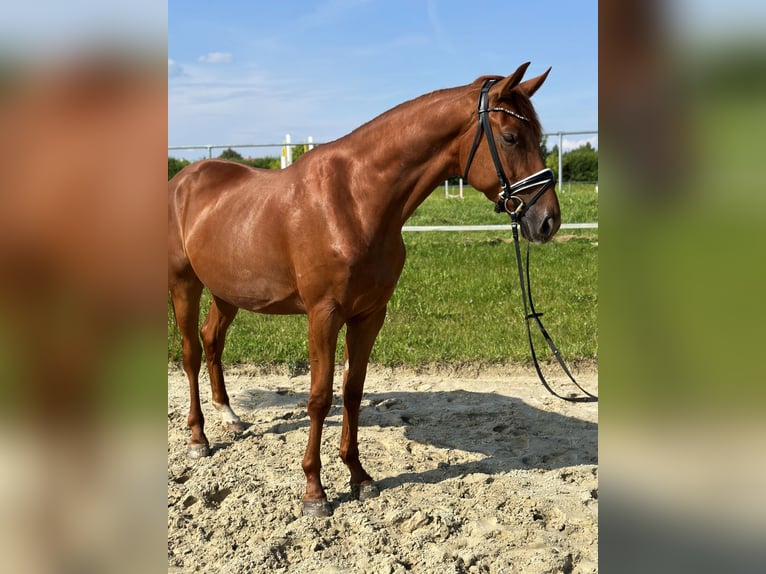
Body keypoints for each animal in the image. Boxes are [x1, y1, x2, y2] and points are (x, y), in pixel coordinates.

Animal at [170, 62, 564, 516]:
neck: (354, 200)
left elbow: (352, 392)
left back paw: (230, 418)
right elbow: (319, 397)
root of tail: (185, 178)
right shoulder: (323, 315)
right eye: (511, 137)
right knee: (191, 353)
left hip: (227, 291)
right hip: (184, 284)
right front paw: (314, 492)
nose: (548, 221)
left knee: (211, 340)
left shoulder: (370, 315)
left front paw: (359, 477)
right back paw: (198, 438)